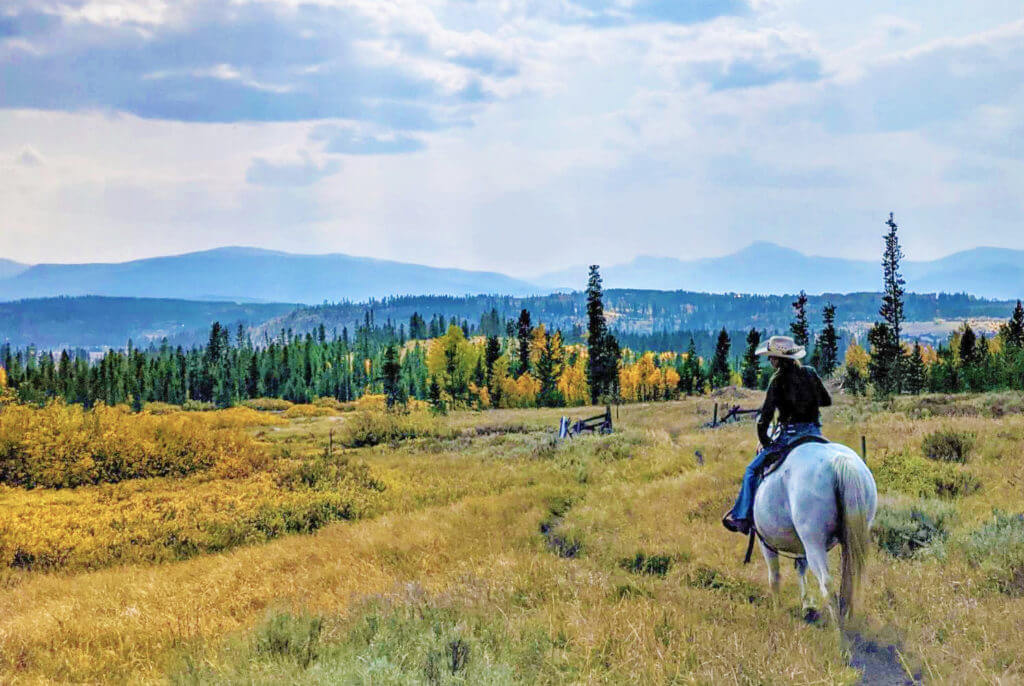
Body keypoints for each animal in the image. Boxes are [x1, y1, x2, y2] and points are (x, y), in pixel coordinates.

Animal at [753, 444, 880, 626]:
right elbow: (801, 569)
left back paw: (839, 628)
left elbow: (774, 577)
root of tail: (839, 462)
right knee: (850, 580)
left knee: (827, 584)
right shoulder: (801, 547)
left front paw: (777, 612)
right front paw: (807, 606)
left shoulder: (765, 543)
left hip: (814, 544)